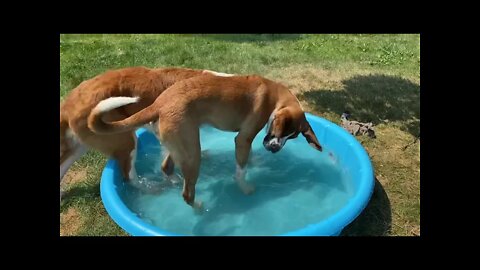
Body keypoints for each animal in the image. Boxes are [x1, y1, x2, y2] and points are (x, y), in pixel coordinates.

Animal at [60, 66, 231, 199]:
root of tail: (69, 103)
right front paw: (173, 178)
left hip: (80, 146)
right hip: (125, 140)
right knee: (128, 176)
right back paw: (152, 189)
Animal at [88, 73, 324, 210]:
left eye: (291, 137)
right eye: (282, 131)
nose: (275, 150)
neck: (274, 95)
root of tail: (159, 103)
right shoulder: (243, 139)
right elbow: (241, 170)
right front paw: (245, 188)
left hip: (181, 145)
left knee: (166, 167)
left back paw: (174, 181)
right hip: (193, 154)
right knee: (187, 193)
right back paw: (200, 207)